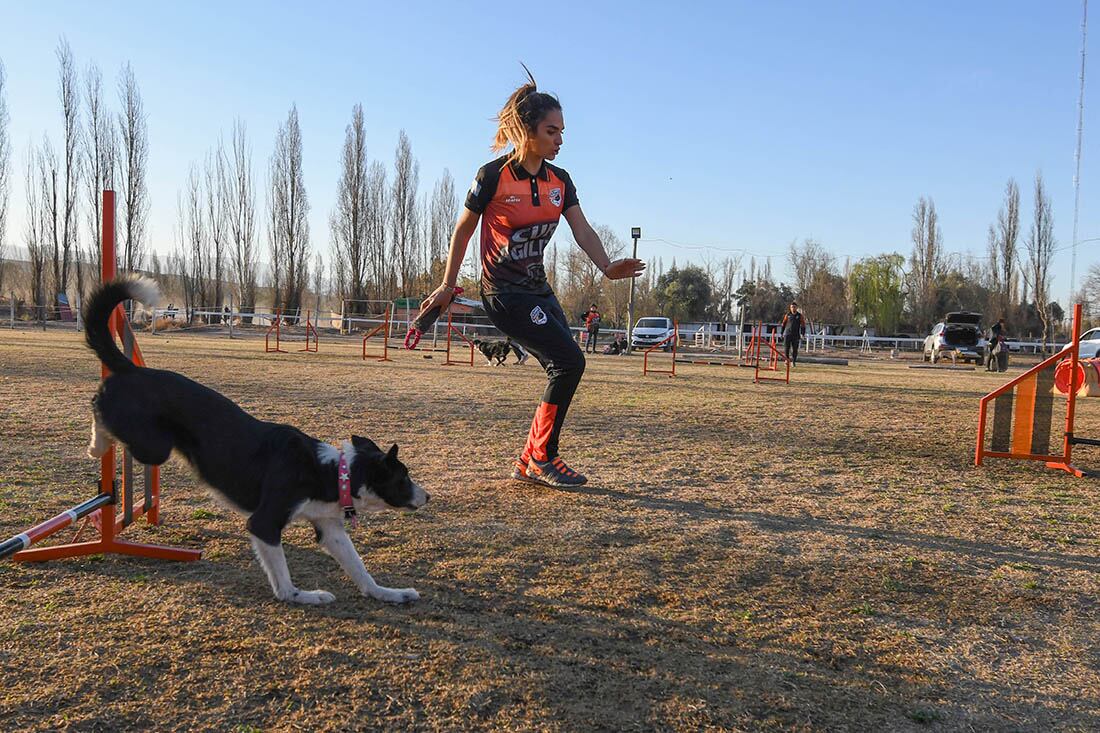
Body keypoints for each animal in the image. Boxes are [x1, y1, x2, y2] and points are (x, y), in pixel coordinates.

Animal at [83, 277, 426, 603]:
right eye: (403, 478)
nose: (428, 497)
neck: (334, 471)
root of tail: (133, 369)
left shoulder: (330, 528)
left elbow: (359, 569)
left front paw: (388, 593)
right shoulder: (264, 524)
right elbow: (284, 580)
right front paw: (303, 597)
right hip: (153, 448)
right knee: (100, 414)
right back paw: (96, 446)